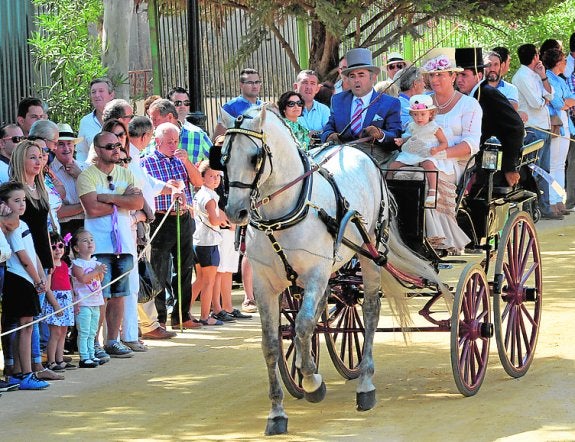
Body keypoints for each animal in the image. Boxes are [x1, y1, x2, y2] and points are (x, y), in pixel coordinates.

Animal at [220, 104, 450, 436]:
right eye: (223, 156)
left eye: (255, 156)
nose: (234, 211)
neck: (283, 213)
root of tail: (355, 149)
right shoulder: (266, 285)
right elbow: (272, 344)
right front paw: (277, 412)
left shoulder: (315, 272)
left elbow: (303, 326)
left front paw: (313, 383)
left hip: (370, 255)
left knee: (369, 312)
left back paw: (365, 383)